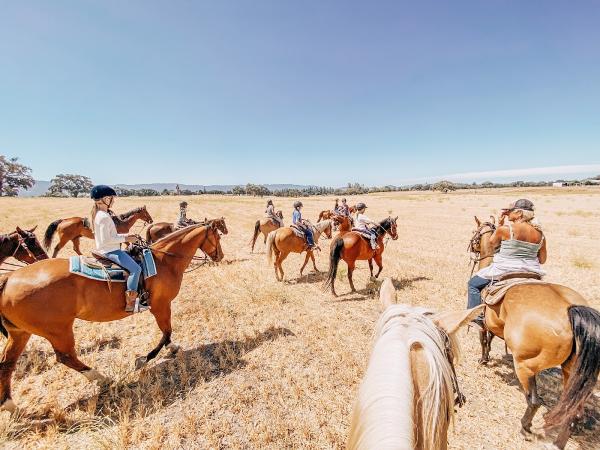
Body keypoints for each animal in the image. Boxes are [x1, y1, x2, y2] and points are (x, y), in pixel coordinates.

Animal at [0, 221, 223, 412]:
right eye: (218, 236)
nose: (220, 255)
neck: (164, 261)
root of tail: (9, 278)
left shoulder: (161, 306)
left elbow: (166, 332)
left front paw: (172, 348)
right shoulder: (161, 305)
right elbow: (166, 330)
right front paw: (144, 359)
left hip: (20, 333)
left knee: (7, 364)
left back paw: (11, 406)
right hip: (58, 330)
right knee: (66, 357)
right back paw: (102, 379)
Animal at [472, 215, 596, 446]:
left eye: (475, 235)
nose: (472, 247)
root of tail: (570, 310)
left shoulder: (482, 321)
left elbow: (484, 340)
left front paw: (483, 359)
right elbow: (491, 339)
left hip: (525, 364)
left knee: (535, 400)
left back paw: (525, 427)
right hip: (573, 372)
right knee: (572, 412)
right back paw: (557, 443)